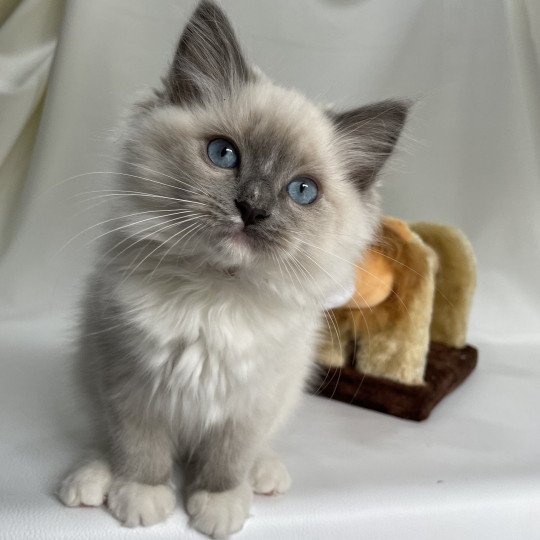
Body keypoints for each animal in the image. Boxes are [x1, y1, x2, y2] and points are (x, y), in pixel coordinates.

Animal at [58, 2, 404, 536]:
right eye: (224, 154)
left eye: (301, 191)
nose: (253, 209)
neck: (216, 293)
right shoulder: (129, 384)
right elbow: (139, 451)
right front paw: (141, 498)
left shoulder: (251, 405)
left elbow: (227, 460)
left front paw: (217, 507)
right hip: (88, 369)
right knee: (101, 440)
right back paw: (89, 482)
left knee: (253, 454)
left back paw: (264, 476)